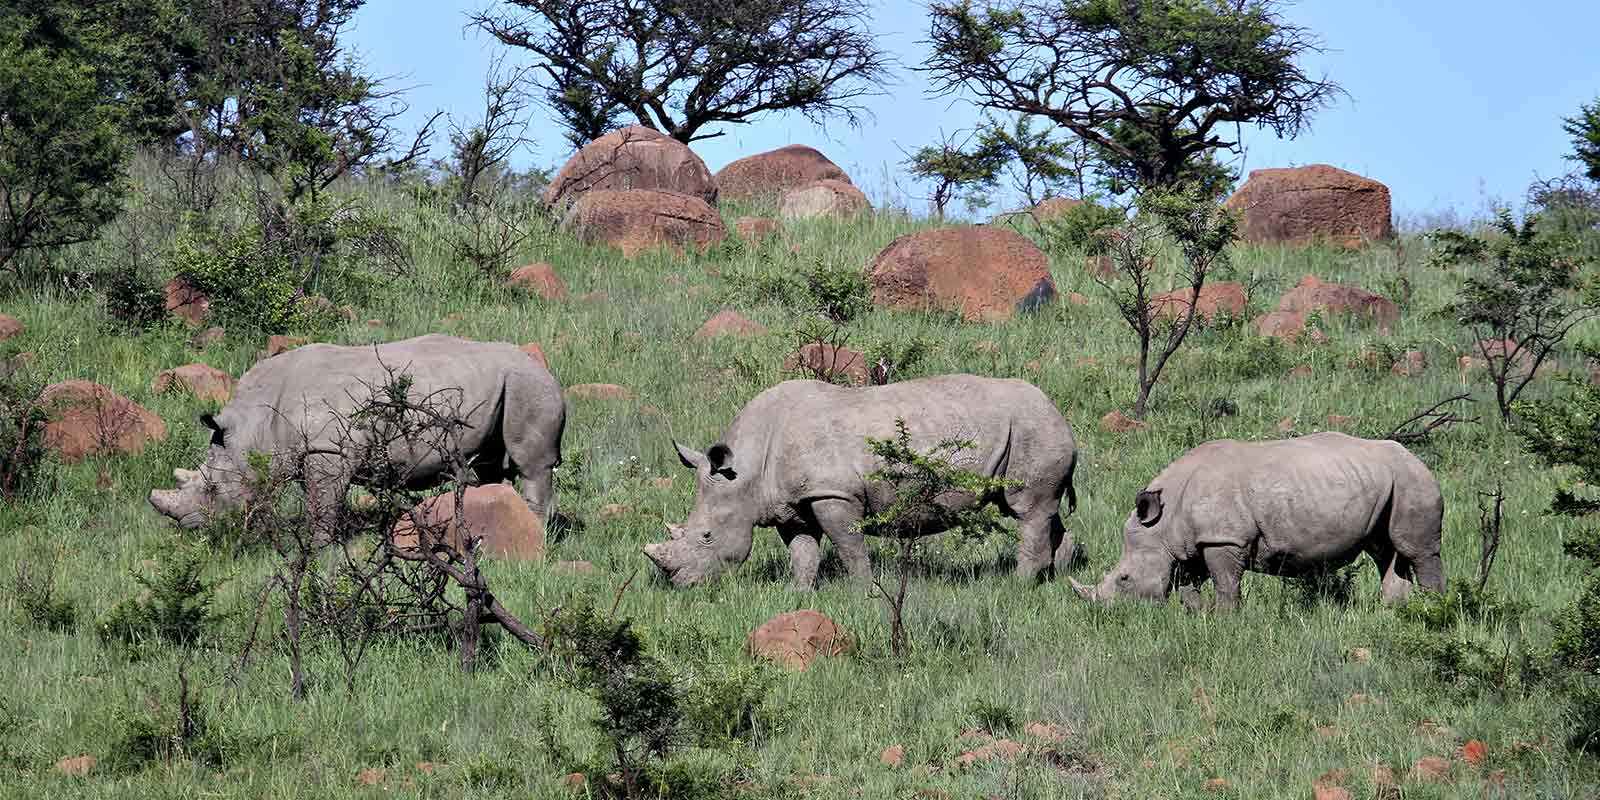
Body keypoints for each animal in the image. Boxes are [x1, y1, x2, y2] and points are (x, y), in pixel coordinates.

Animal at [148, 334, 565, 534]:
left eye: (212, 489)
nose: (192, 528)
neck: (253, 426)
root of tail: (546, 369)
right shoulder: (310, 453)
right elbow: (320, 501)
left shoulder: (327, 451)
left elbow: (322, 509)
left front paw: (318, 549)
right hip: (507, 383)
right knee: (491, 463)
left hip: (530, 384)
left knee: (531, 464)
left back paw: (534, 531)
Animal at [642, 375, 1079, 589]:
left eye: (707, 537)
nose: (682, 585)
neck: (746, 471)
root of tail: (1058, 411)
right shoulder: (792, 504)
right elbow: (803, 552)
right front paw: (799, 595)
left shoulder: (834, 494)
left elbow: (850, 547)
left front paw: (862, 594)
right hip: (1030, 429)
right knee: (1046, 512)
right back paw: (1055, 578)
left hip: (1032, 429)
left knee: (1026, 509)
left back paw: (1018, 587)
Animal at [1071, 431, 1445, 610]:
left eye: (1124, 579)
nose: (1104, 611)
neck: (1165, 522)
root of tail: (1416, 457)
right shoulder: (1192, 543)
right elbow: (1189, 586)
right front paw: (1198, 614)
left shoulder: (1223, 538)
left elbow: (1225, 585)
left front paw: (1224, 620)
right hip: (1388, 482)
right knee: (1387, 551)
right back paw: (1395, 610)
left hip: (1412, 479)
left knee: (1417, 551)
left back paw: (1434, 610)